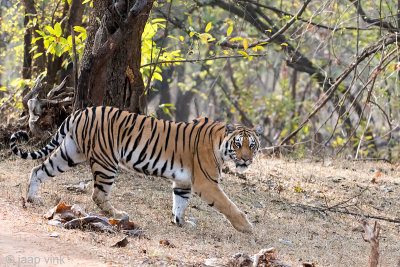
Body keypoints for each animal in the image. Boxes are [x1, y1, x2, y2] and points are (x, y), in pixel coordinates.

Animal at [9, 105, 262, 233]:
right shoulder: (206, 183)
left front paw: (180, 223)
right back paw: (118, 215)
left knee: (38, 169)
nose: (246, 160)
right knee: (98, 194)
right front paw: (247, 228)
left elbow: (179, 204)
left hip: (69, 153)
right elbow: (230, 206)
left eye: (252, 145)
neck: (220, 144)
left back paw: (31, 198)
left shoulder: (182, 182)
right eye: (237, 145)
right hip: (106, 161)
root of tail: (80, 111)